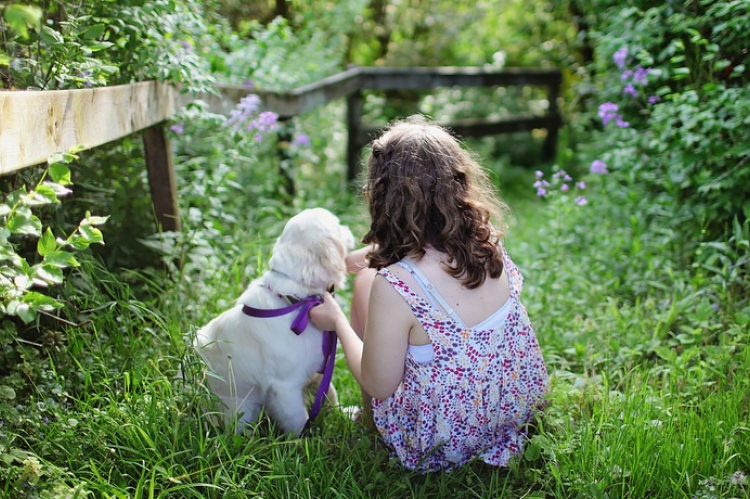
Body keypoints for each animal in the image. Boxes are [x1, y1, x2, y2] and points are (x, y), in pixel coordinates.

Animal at [197, 209, 356, 436]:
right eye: (337, 224)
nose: (348, 228)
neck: (296, 301)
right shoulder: (285, 387)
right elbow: (299, 420)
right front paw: (306, 440)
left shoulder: (317, 368)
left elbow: (329, 394)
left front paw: (345, 415)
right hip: (242, 410)